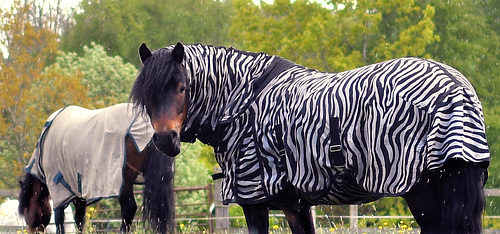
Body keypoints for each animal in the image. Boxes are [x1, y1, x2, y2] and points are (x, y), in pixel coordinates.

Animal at [18, 104, 175, 234]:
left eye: (26, 210)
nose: (31, 230)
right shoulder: (78, 188)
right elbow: (80, 219)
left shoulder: (58, 189)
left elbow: (60, 220)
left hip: (123, 183)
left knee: (129, 209)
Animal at [130, 43, 492, 233]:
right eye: (148, 94)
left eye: (182, 87)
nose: (165, 140)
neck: (245, 102)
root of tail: (457, 90)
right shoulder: (296, 205)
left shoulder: (253, 200)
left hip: (424, 195)